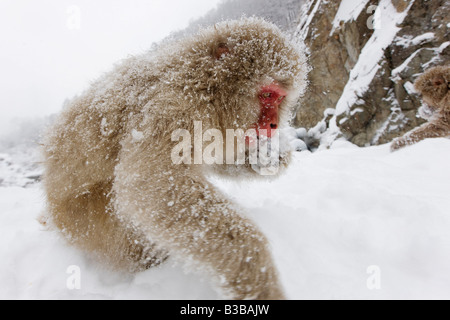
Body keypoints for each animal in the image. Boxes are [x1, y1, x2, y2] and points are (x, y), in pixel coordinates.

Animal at [42, 18, 308, 300]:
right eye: (267, 95)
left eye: (280, 98)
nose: (273, 123)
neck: (205, 83)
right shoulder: (174, 108)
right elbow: (150, 185)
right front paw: (254, 270)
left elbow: (215, 157)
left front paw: (270, 157)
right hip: (87, 222)